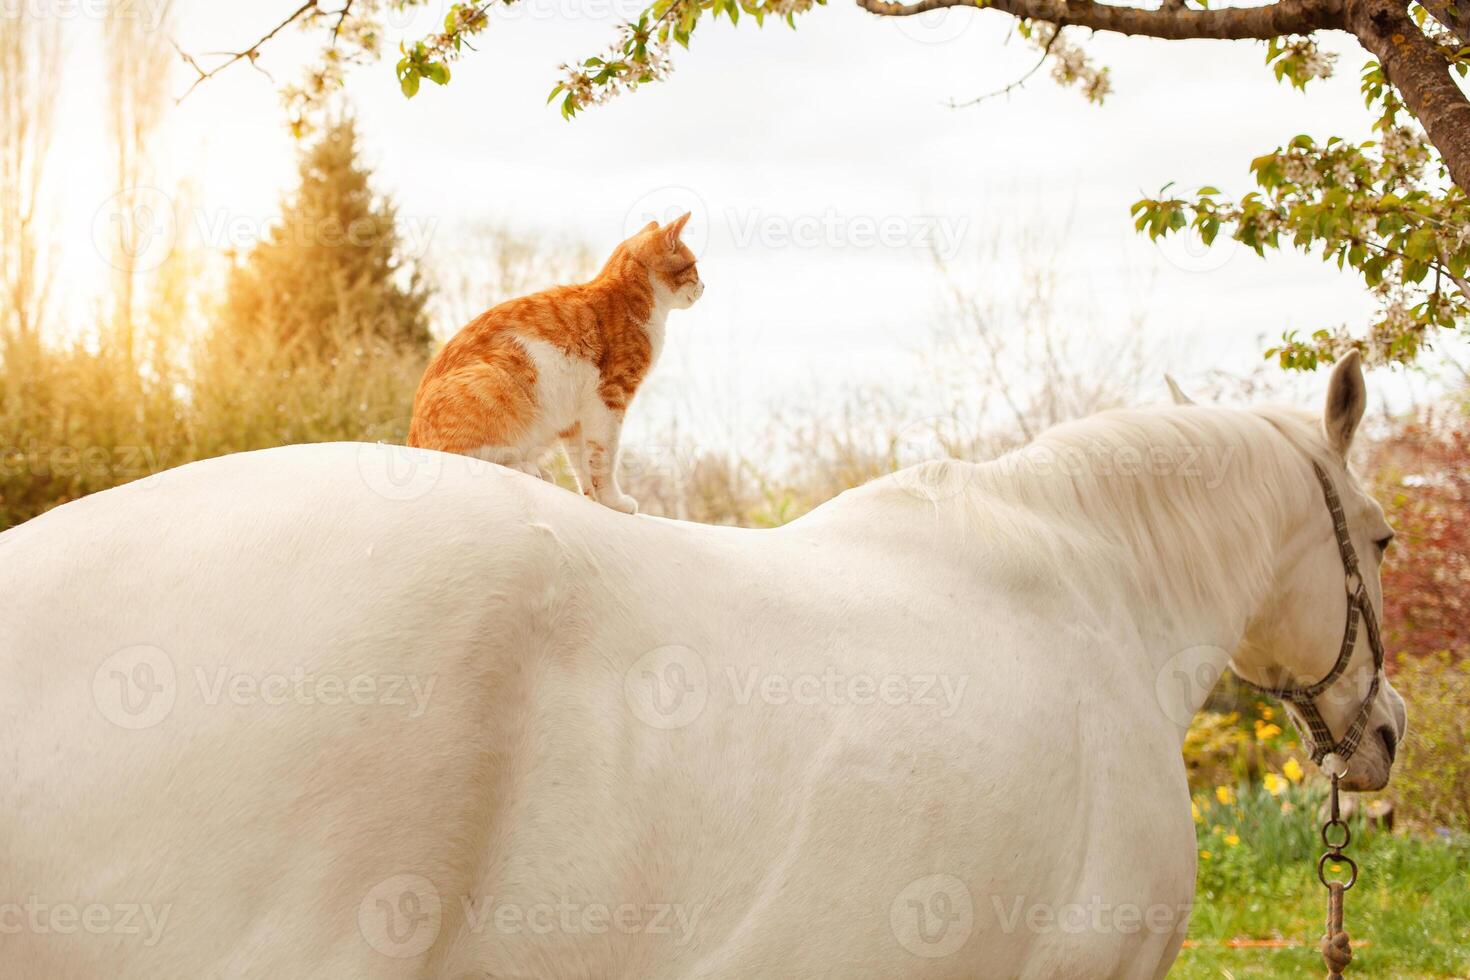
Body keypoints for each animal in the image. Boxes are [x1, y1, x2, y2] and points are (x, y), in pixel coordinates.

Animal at [402, 213, 699, 514]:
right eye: (694, 266)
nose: (704, 286)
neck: (632, 298)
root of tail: (411, 438)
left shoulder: (577, 419)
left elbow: (583, 463)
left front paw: (596, 500)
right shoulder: (609, 398)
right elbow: (604, 457)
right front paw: (614, 501)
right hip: (496, 381)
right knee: (470, 456)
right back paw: (526, 467)